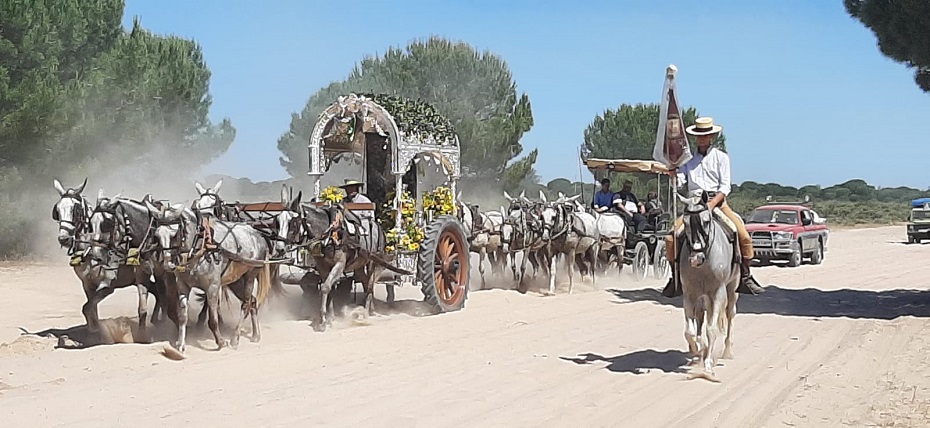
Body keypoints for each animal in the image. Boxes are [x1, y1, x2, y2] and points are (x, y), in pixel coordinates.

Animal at [676, 192, 740, 380]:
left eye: (706, 221)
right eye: (685, 222)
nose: (696, 259)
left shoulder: (718, 293)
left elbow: (712, 329)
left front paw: (708, 367)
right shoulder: (689, 294)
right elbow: (690, 331)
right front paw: (698, 349)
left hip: (731, 289)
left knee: (730, 314)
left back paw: (727, 351)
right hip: (703, 298)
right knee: (700, 317)